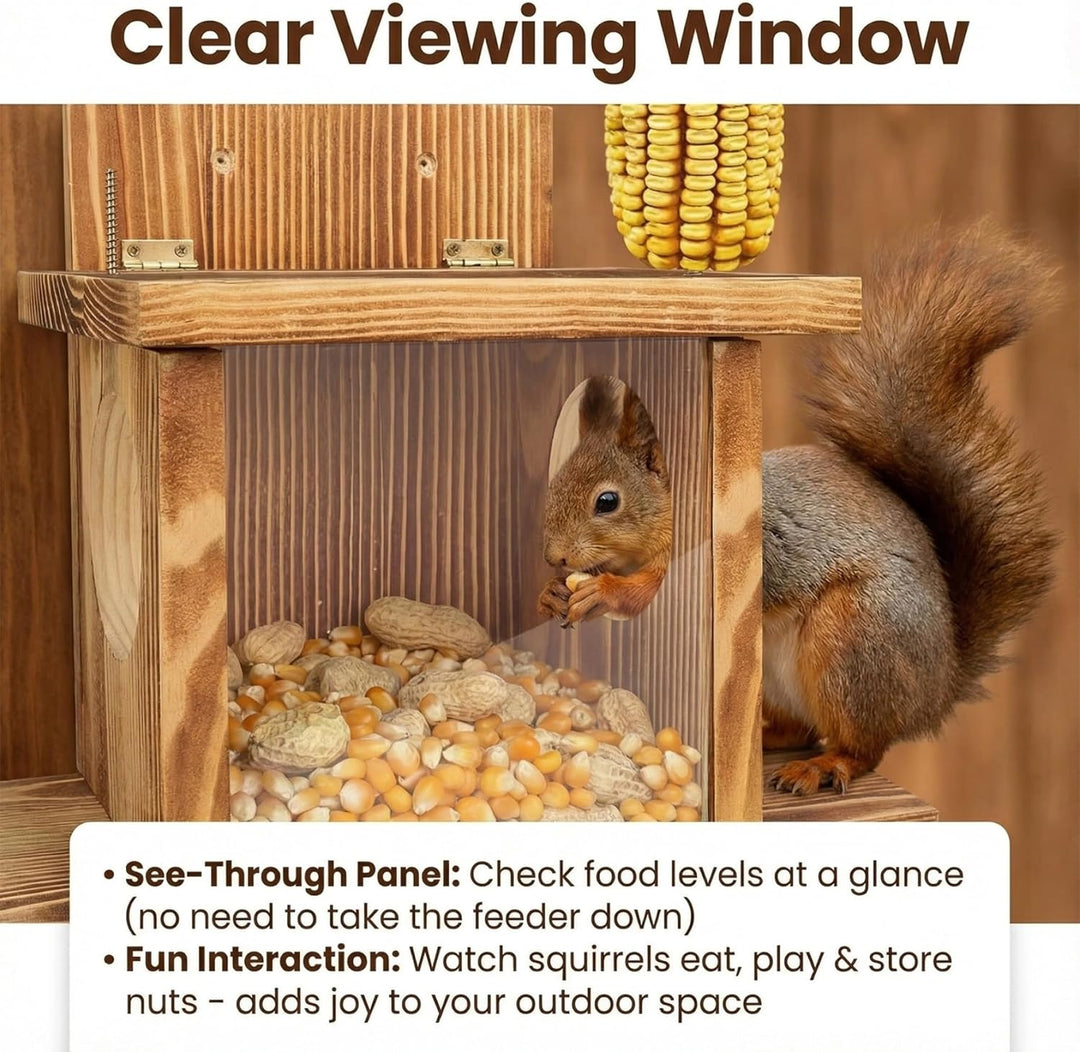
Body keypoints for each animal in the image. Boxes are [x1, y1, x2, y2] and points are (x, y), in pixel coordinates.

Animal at [537, 223, 1058, 794]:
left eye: (607, 501)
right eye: (556, 481)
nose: (555, 557)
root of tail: (936, 690)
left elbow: (654, 591)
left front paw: (604, 591)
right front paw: (551, 595)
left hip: (852, 641)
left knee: (863, 746)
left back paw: (826, 765)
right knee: (800, 729)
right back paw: (762, 744)